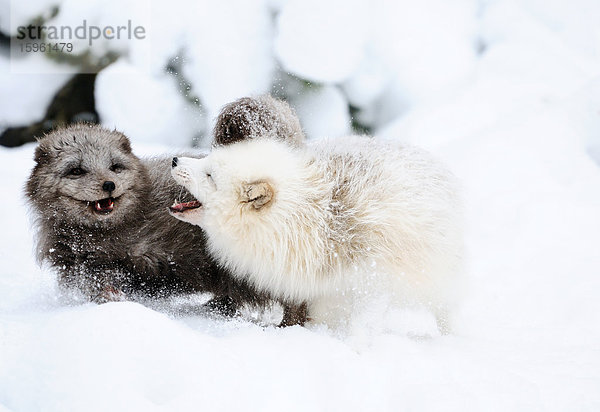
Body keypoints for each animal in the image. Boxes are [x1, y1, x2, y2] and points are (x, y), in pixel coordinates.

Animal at [169, 137, 464, 334]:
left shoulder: (374, 282)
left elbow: (362, 327)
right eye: (206, 160)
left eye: (210, 176)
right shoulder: (319, 292)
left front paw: (355, 351)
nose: (174, 160)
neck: (315, 215)